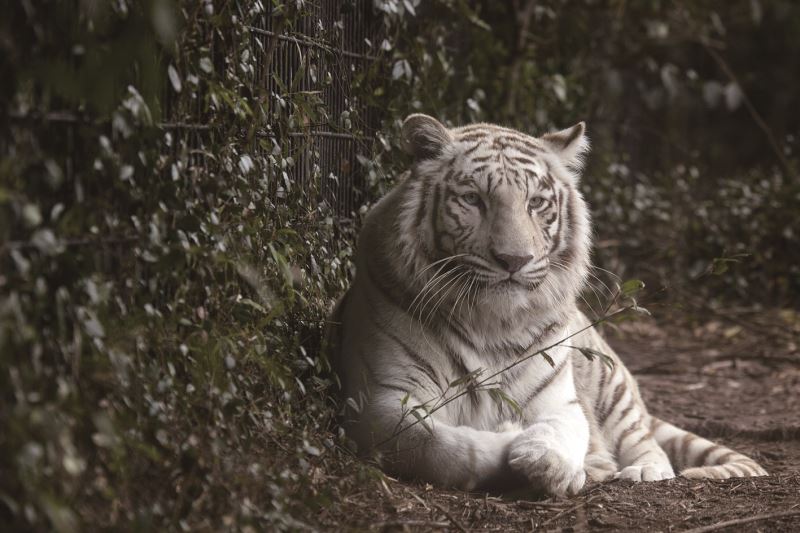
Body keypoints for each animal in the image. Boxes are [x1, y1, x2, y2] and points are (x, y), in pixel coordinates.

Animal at [326, 113, 768, 494]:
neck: (488, 322)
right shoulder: (381, 402)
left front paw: (550, 463)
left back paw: (641, 470)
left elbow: (560, 430)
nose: (514, 260)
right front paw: (511, 440)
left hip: (610, 384)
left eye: (536, 203)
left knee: (644, 439)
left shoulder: (559, 401)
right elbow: (441, 447)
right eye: (472, 199)